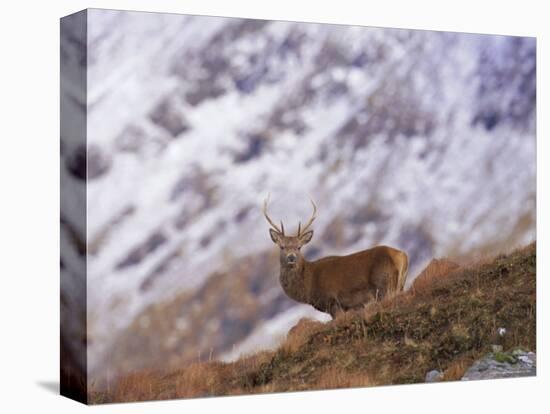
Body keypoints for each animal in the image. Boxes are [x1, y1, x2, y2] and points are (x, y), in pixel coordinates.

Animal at [264, 196, 410, 318]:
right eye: (282, 247)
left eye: (299, 247)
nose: (291, 257)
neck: (309, 286)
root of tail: (402, 255)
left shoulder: (332, 301)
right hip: (400, 284)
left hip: (385, 284)